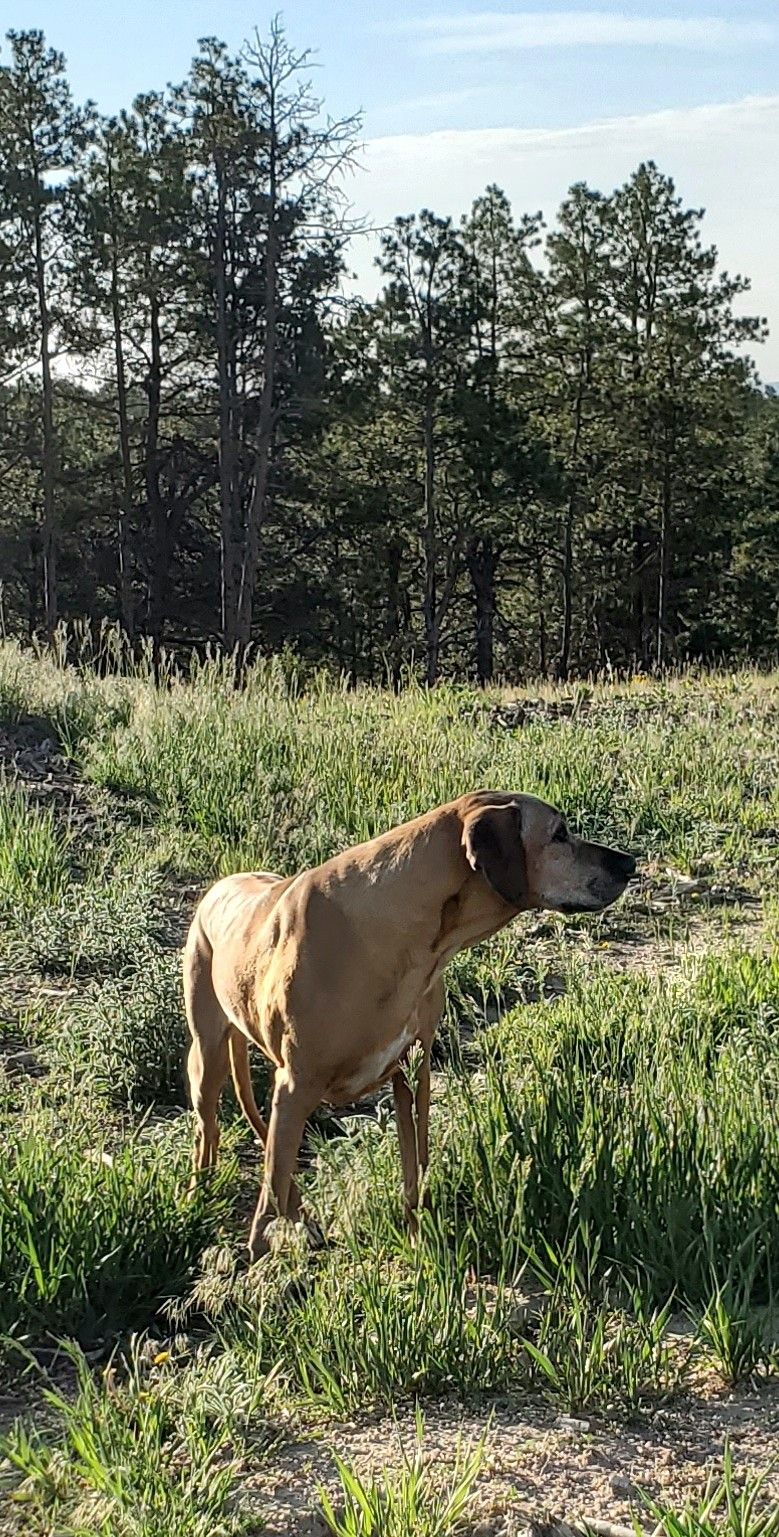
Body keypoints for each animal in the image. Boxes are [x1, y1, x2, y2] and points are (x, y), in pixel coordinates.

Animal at [183, 791, 636, 1259]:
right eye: (559, 834)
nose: (630, 863)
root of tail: (221, 885)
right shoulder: (294, 1085)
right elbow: (272, 1185)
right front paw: (258, 1264)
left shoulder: (411, 1075)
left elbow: (414, 1166)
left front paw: (420, 1239)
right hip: (208, 1057)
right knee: (209, 1131)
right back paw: (200, 1196)